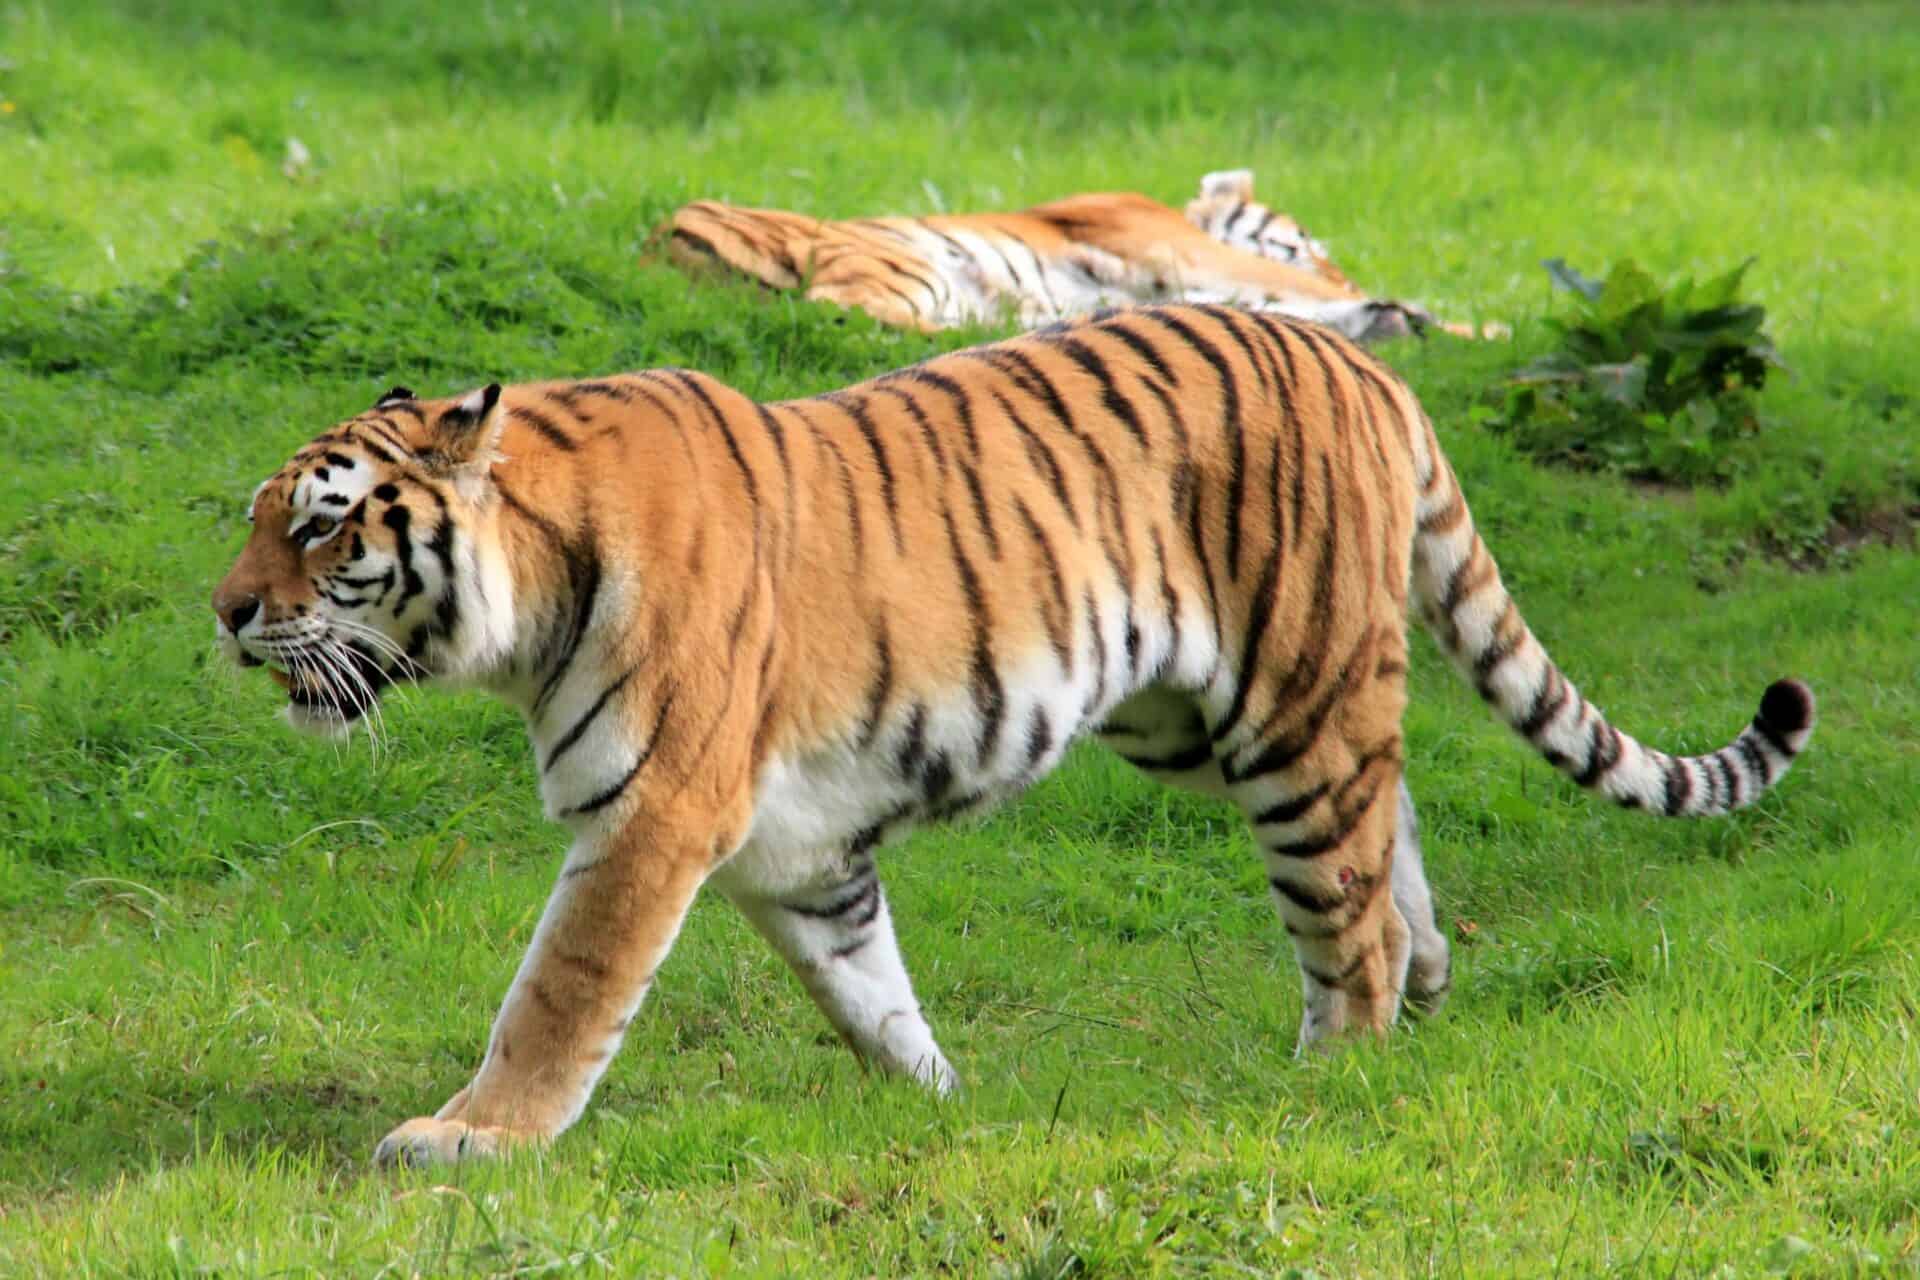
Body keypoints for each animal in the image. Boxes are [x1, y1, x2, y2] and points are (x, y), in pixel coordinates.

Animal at [210, 303, 1815, 1167]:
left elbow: (557, 992)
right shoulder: (797, 851)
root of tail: (1368, 367)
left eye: (322, 526)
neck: (524, 602)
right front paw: (941, 1112)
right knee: (1391, 828)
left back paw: (1335, 1079)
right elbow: (870, 994)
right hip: (1212, 716)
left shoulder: (653, 814)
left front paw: (473, 1138)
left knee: (1344, 913)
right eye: (258, 520)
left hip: (1285, 707)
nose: (223, 615)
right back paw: (1424, 994)